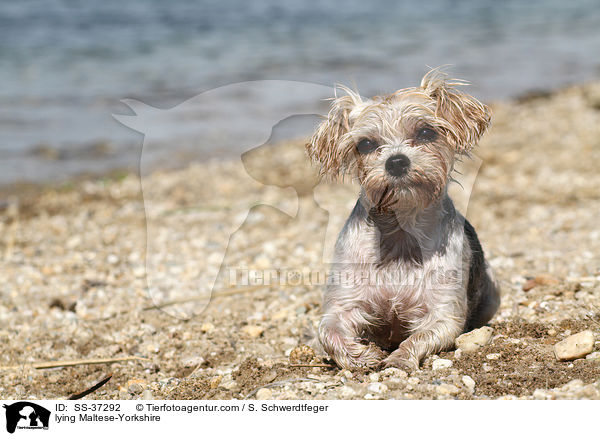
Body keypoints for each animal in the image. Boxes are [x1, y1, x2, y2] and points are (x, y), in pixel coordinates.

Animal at [308, 70, 500, 370]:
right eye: (366, 144)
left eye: (425, 132)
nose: (396, 161)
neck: (399, 233)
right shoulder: (342, 304)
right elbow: (328, 333)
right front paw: (363, 355)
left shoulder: (444, 314)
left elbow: (418, 338)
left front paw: (399, 359)